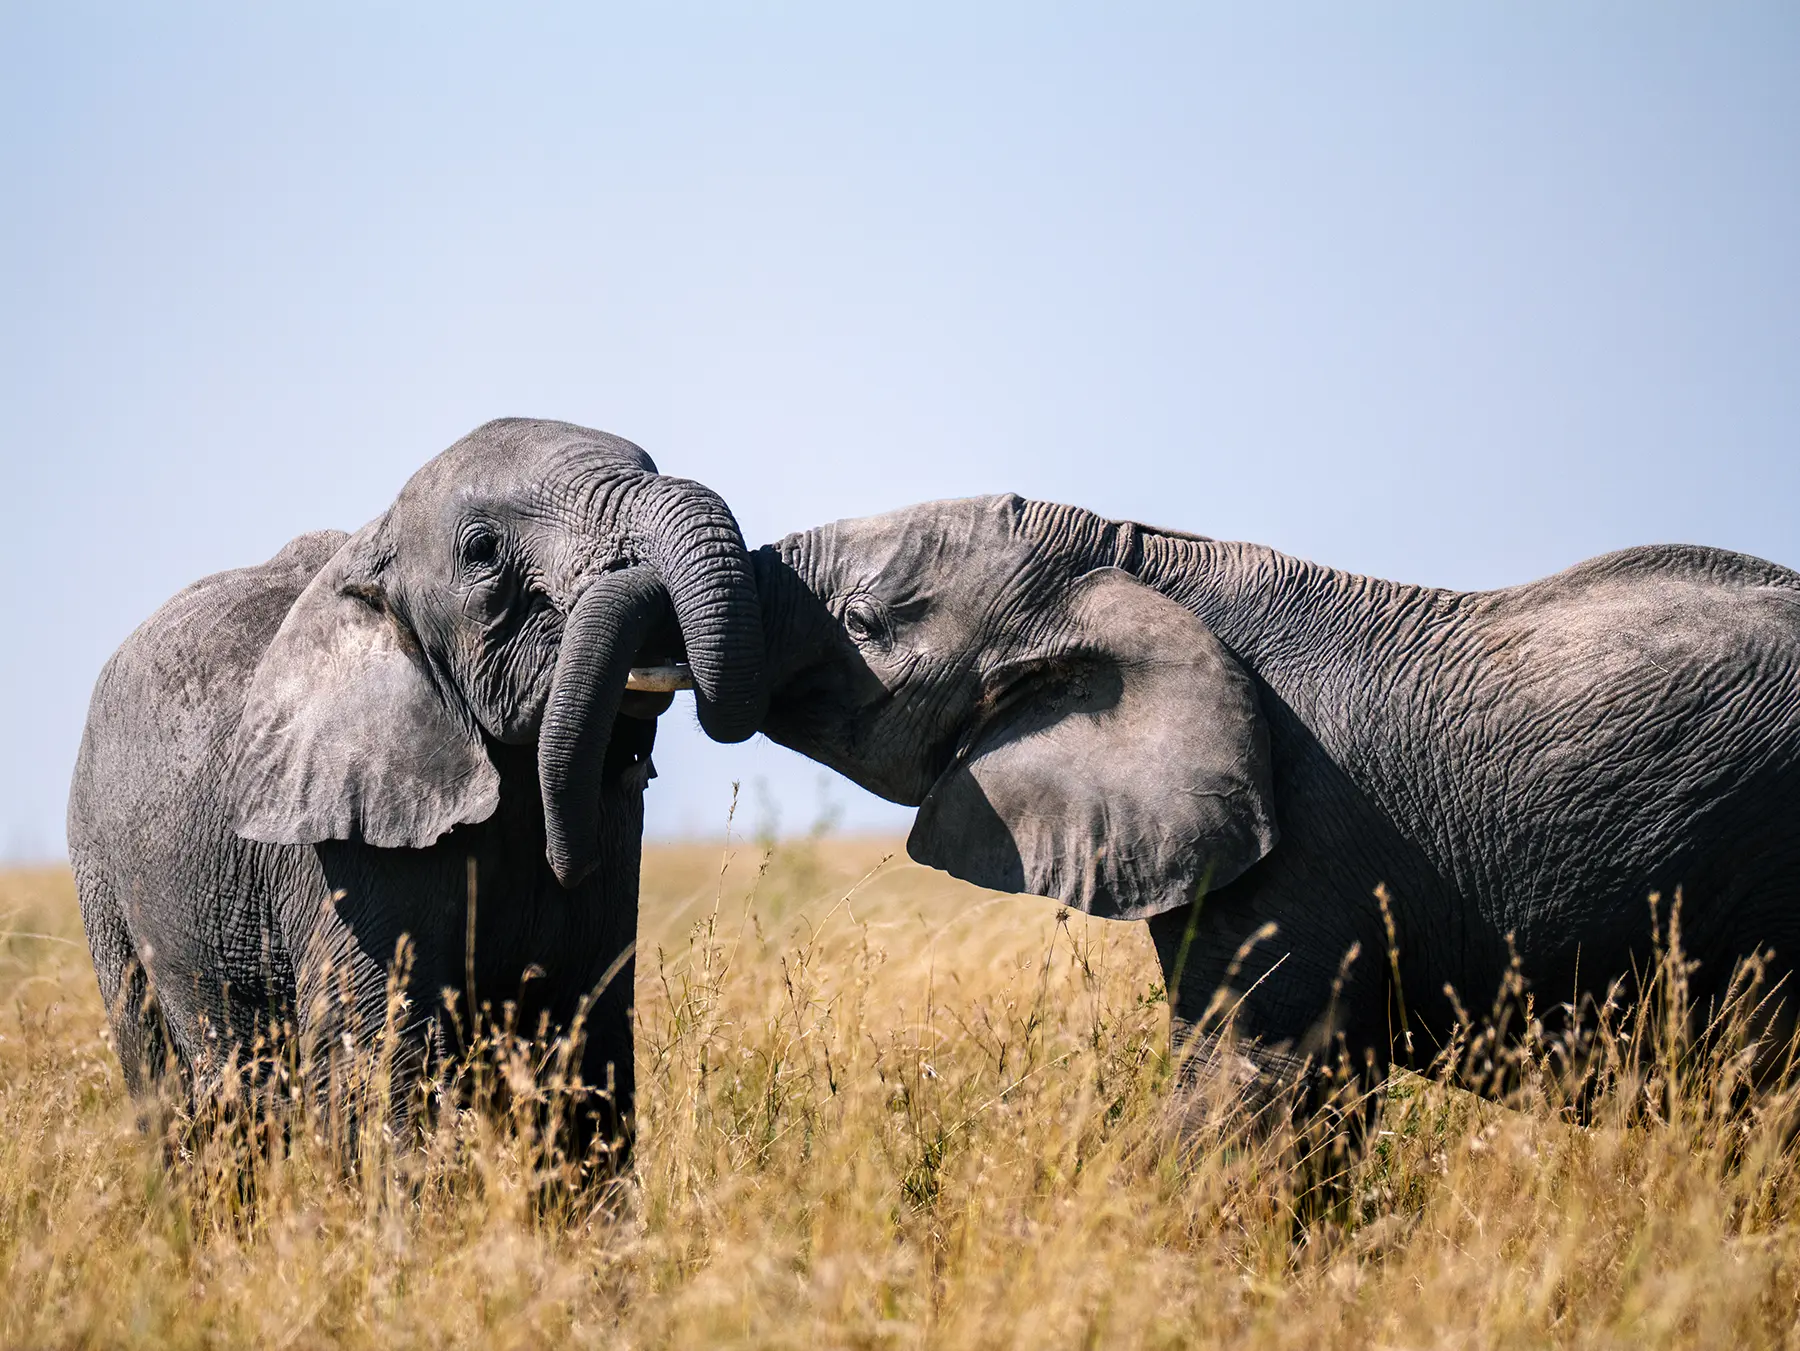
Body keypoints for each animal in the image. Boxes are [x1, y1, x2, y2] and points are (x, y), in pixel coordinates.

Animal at [67, 418, 766, 1170]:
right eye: (482, 549)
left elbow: (581, 1039)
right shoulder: (340, 835)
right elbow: (377, 1056)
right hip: (98, 864)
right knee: (168, 1089)